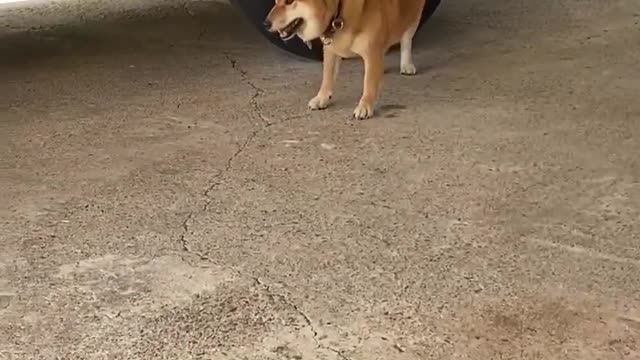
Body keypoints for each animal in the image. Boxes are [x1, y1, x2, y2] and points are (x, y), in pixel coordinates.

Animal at [262, 0, 428, 119]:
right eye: (276, 0)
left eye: (290, 1)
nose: (265, 24)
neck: (340, 10)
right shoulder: (330, 49)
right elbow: (327, 77)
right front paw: (322, 98)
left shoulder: (371, 52)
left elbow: (368, 83)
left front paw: (365, 106)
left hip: (414, 14)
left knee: (407, 36)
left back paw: (406, 64)